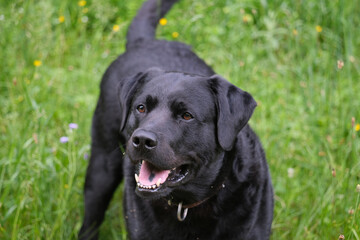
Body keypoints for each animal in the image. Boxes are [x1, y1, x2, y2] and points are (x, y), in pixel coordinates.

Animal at [79, 0, 272, 239]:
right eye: (141, 108)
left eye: (187, 115)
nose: (142, 140)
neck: (185, 204)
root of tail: (145, 41)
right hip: (101, 166)